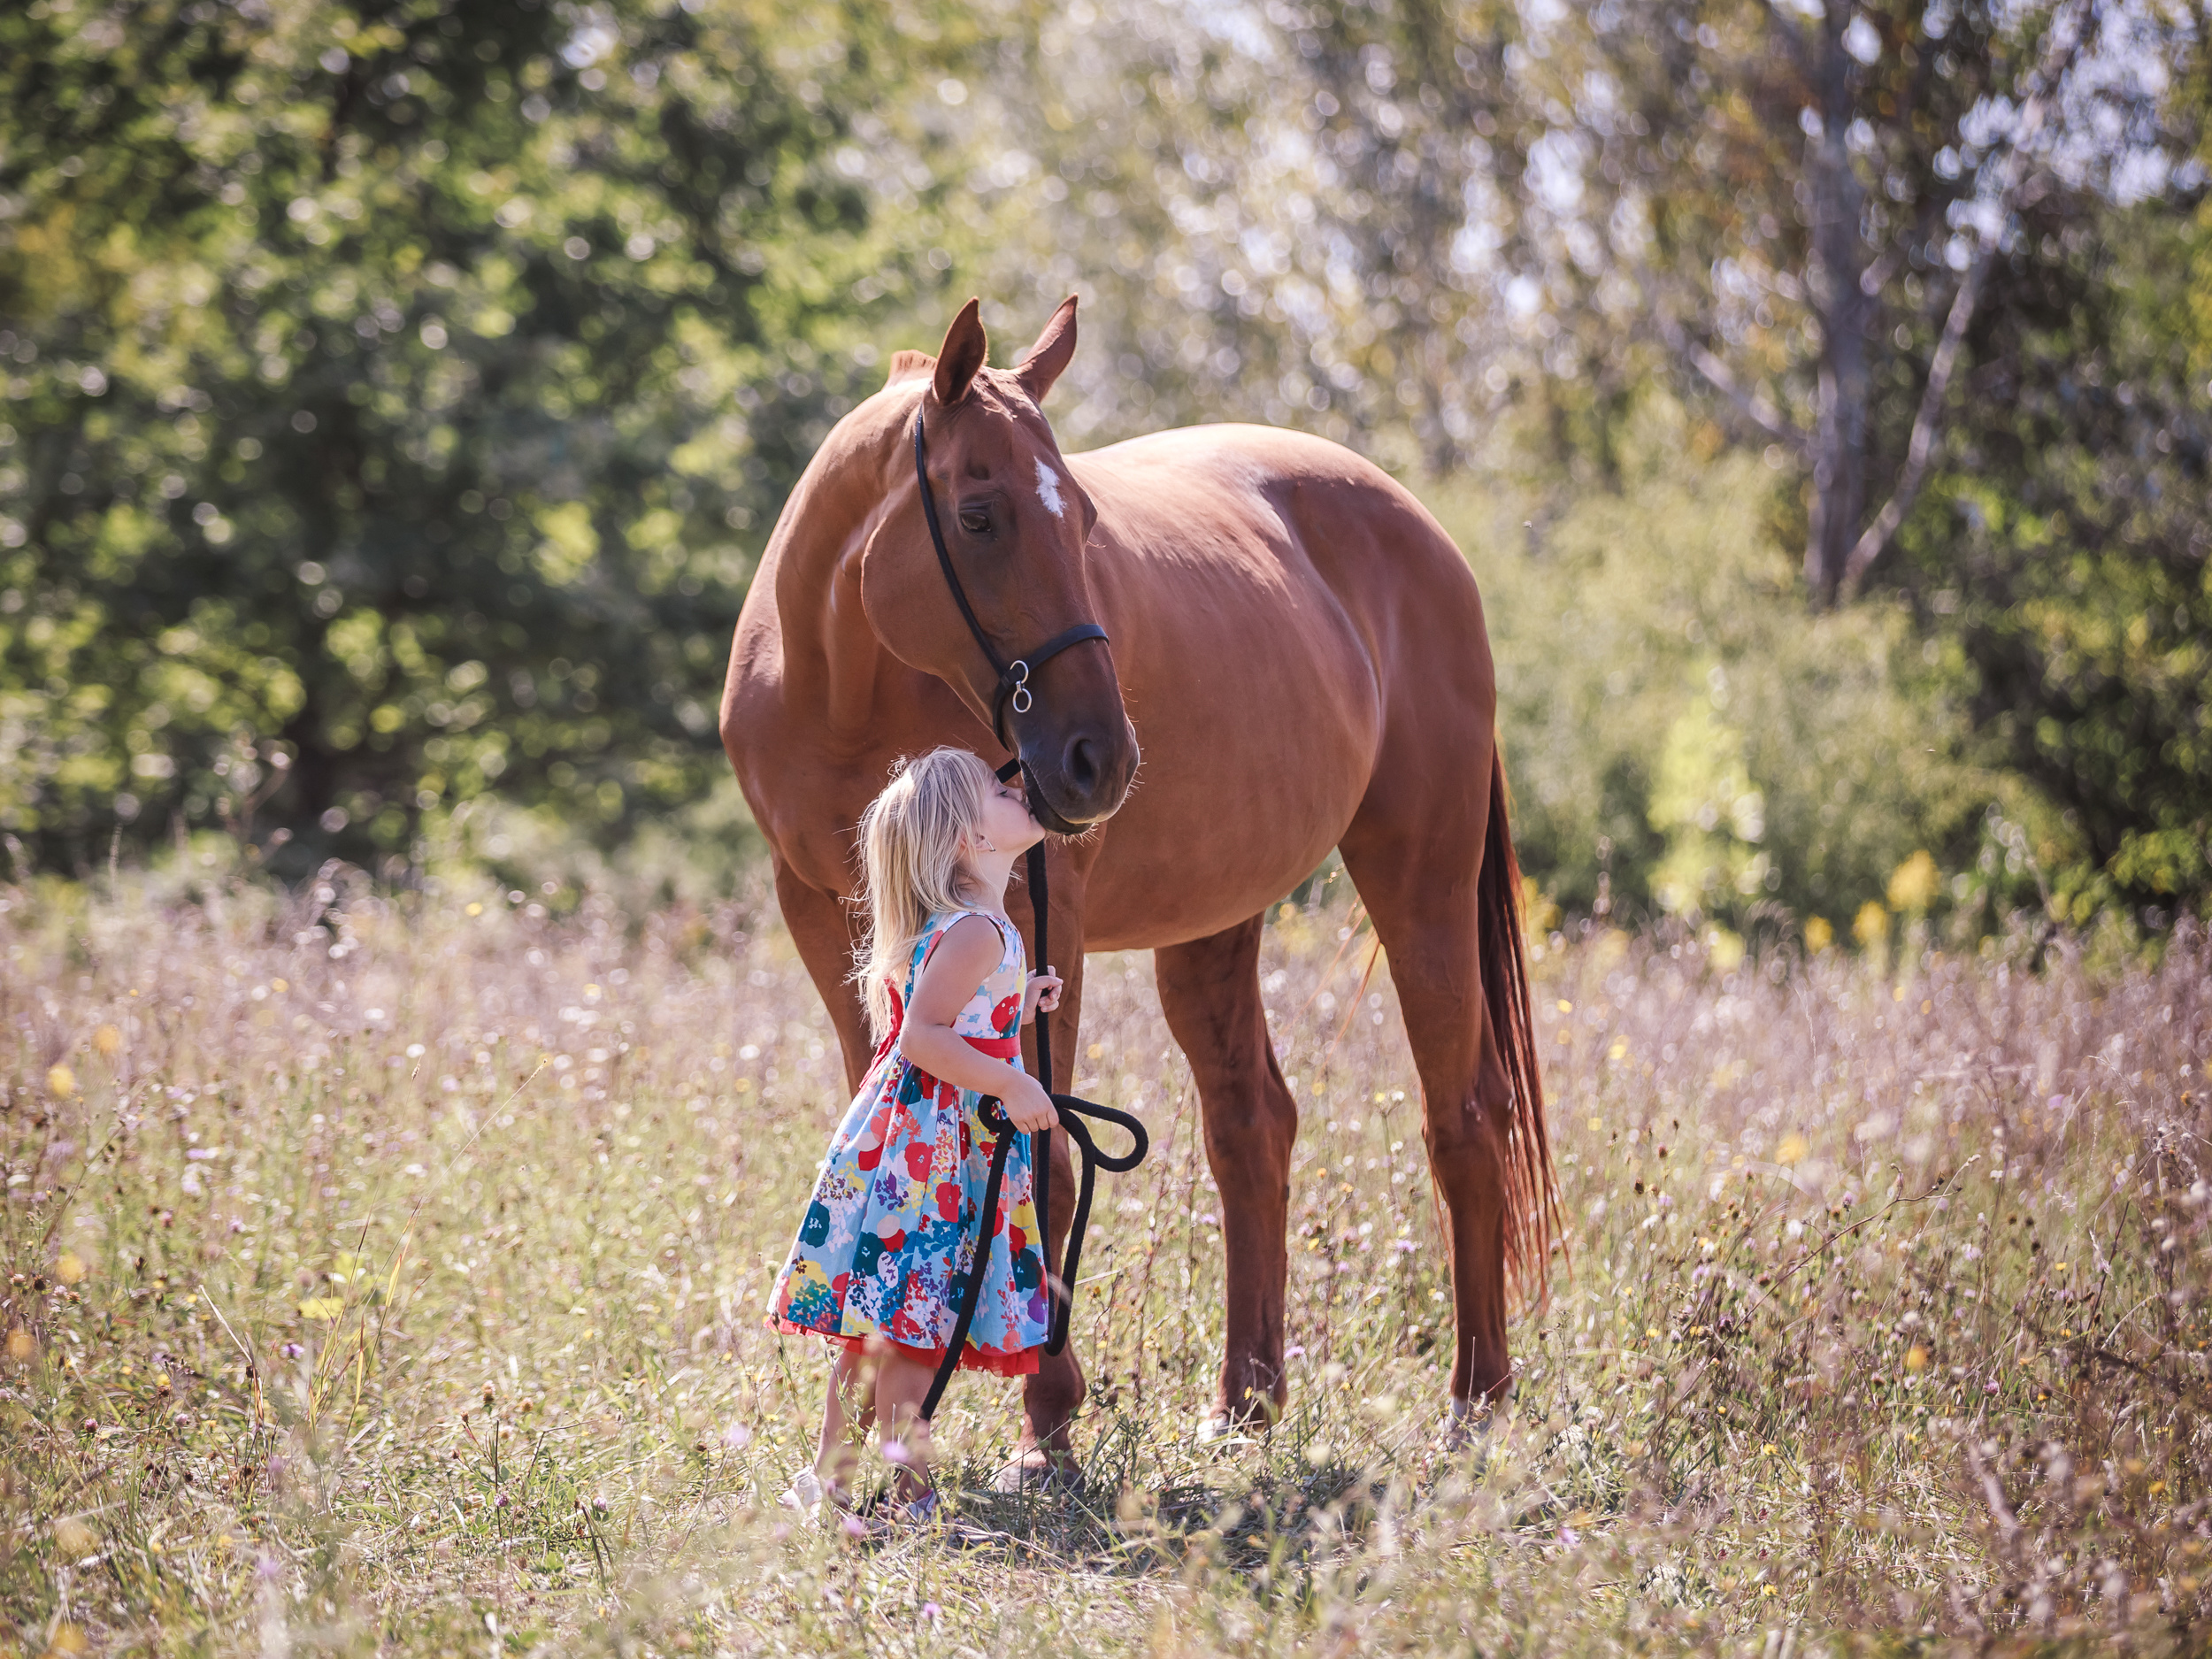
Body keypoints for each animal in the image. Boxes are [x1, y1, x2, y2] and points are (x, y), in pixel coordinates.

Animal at [720, 296, 1554, 1477]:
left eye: (1084, 523)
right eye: (980, 516)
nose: (1097, 760)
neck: (843, 677)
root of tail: (1422, 535)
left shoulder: (1036, 917)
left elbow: (1044, 1152)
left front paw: (1048, 1423)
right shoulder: (828, 916)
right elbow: (885, 1103)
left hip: (1419, 875)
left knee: (1464, 1119)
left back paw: (1474, 1403)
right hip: (1214, 921)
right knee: (1252, 1124)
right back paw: (1245, 1403)